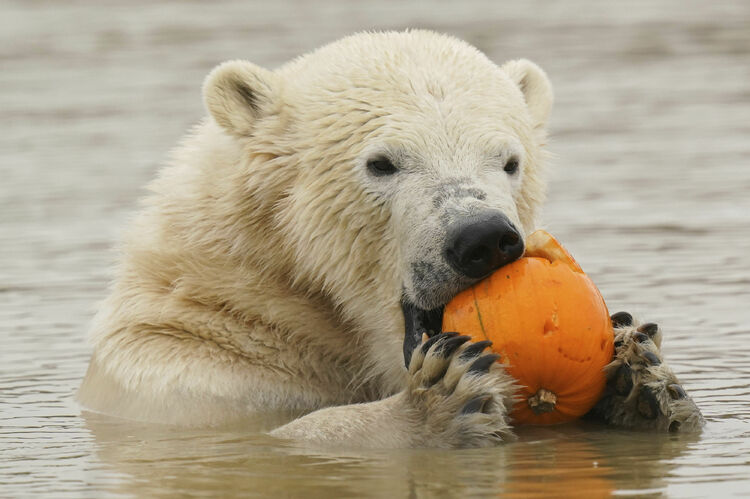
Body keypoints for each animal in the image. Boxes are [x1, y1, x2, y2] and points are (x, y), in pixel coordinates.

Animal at [78, 29, 704, 448]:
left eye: (509, 161)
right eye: (381, 163)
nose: (483, 239)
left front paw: (640, 376)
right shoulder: (200, 375)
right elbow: (280, 437)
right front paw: (434, 403)